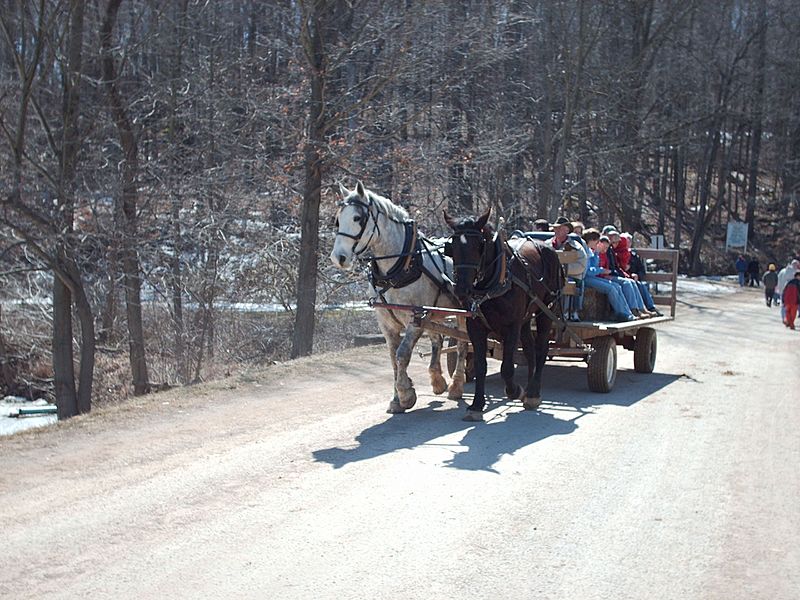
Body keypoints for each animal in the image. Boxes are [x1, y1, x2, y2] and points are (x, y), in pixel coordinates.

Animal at [330, 181, 468, 414]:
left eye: (357, 218)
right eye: (338, 219)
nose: (338, 257)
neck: (400, 266)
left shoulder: (415, 320)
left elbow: (402, 355)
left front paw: (405, 394)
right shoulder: (387, 324)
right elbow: (393, 359)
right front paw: (396, 399)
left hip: (462, 313)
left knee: (462, 344)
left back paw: (456, 386)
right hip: (433, 314)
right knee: (438, 340)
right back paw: (437, 380)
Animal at [443, 207, 565, 421]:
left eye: (479, 246)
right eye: (452, 246)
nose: (461, 289)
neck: (494, 282)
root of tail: (547, 247)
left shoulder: (511, 326)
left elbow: (506, 368)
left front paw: (515, 390)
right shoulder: (475, 326)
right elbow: (481, 365)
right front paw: (477, 405)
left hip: (546, 312)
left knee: (541, 349)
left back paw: (533, 392)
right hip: (526, 318)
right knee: (530, 350)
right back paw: (530, 387)